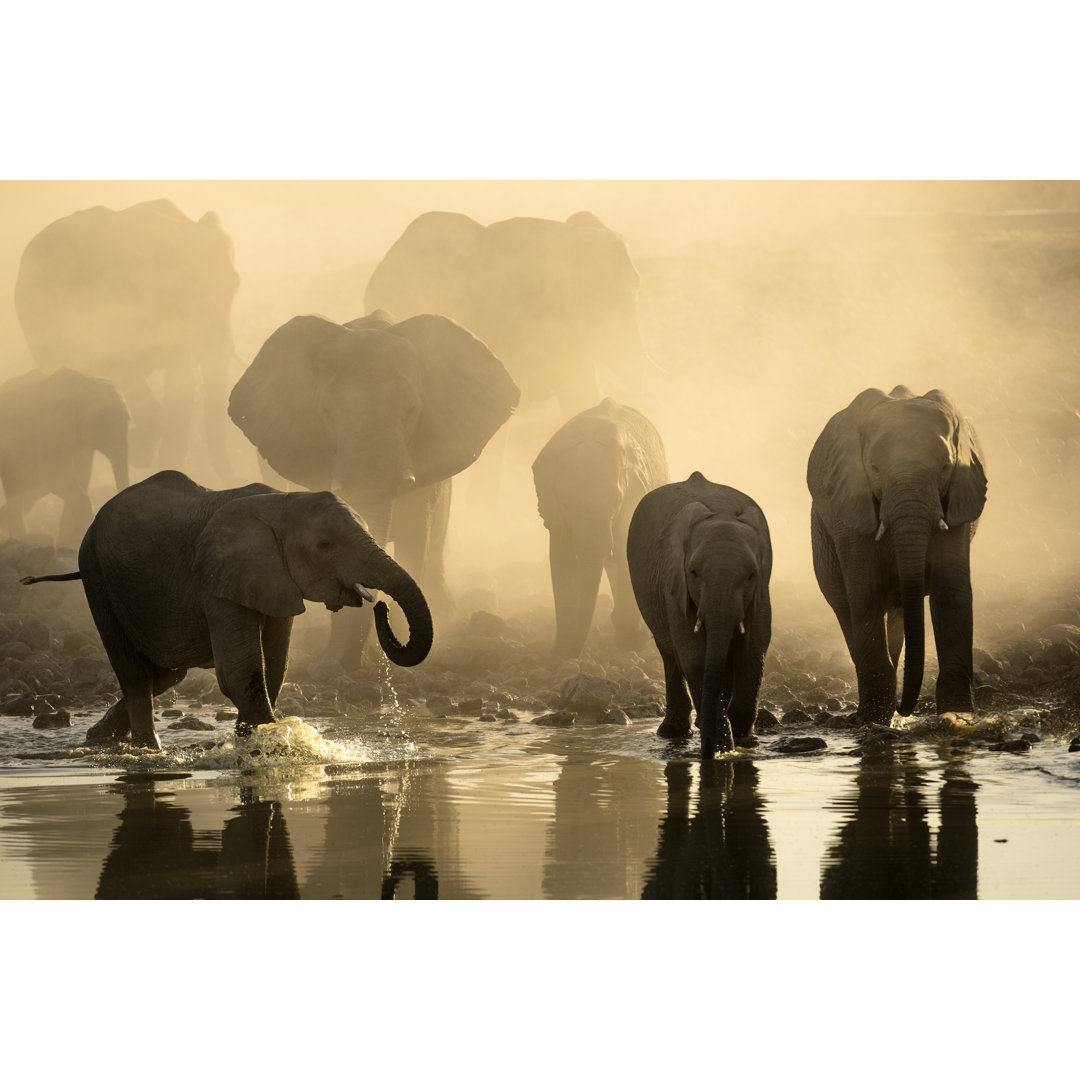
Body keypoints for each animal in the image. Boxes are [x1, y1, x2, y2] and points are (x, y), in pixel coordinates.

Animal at [0, 367, 129, 548]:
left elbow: (81, 477)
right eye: (103, 423)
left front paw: (68, 544)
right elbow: (55, 478)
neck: (86, 383)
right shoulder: (51, 427)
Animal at [21, 469, 432, 749]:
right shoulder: (217, 579)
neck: (283, 501)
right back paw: (148, 751)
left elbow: (274, 666)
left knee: (166, 674)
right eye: (325, 545)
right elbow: (240, 671)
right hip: (96, 573)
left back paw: (98, 738)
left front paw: (252, 738)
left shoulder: (273, 579)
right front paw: (269, 743)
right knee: (135, 673)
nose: (381, 606)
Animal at [532, 397, 669, 658]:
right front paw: (561, 653)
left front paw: (630, 643)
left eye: (615, 501)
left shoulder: (631, 499)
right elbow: (562, 560)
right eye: (566, 504)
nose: (572, 654)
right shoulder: (556, 514)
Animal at [627, 472, 773, 758]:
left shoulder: (762, 591)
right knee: (669, 652)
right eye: (694, 573)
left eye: (751, 576)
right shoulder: (675, 586)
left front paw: (743, 741)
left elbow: (754, 648)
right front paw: (721, 747)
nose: (706, 752)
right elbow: (694, 655)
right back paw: (674, 731)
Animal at [807, 386, 987, 723]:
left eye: (945, 468)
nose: (906, 708)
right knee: (843, 604)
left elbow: (951, 591)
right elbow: (864, 591)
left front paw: (958, 717)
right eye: (875, 469)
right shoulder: (851, 501)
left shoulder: (957, 498)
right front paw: (873, 720)